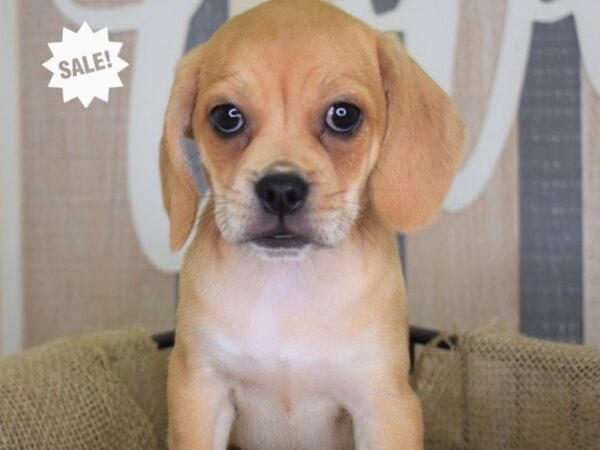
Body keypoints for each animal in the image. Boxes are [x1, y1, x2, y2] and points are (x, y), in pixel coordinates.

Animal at [161, 1, 464, 448]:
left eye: (344, 115)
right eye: (226, 117)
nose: (281, 190)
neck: (288, 284)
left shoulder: (384, 404)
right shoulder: (199, 389)